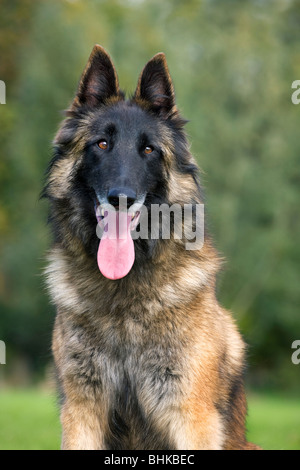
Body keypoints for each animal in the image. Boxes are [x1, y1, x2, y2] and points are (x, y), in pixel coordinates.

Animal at [42, 45, 260, 452]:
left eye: (148, 149)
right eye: (102, 144)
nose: (122, 198)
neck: (123, 295)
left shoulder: (191, 415)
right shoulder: (82, 410)